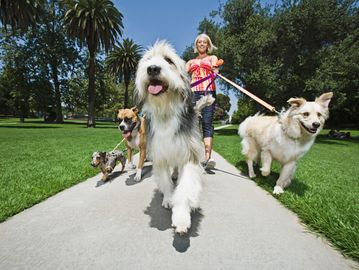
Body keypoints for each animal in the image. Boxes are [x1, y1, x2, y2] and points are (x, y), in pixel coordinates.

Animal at [136, 40, 205, 234]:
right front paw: (168, 199)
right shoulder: (160, 154)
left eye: (168, 60)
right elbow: (165, 181)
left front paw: (181, 216)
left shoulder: (189, 155)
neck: (166, 110)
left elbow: (185, 187)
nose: (152, 69)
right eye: (148, 60)